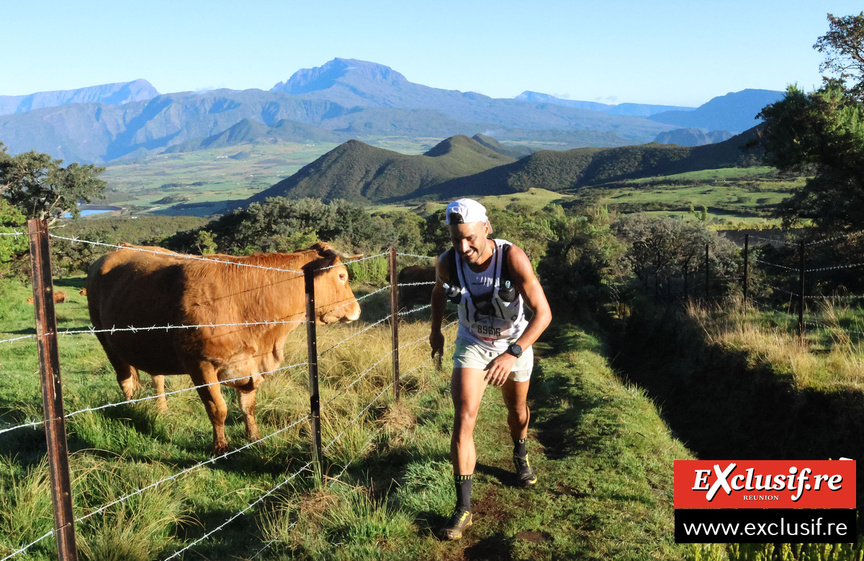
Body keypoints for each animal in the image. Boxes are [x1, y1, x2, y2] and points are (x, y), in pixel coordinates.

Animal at [86, 242, 361, 454]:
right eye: (342, 276)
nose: (357, 310)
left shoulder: (251, 365)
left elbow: (248, 406)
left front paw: (255, 438)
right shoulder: (201, 366)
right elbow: (218, 409)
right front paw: (221, 447)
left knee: (157, 378)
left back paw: (162, 410)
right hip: (106, 341)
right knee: (125, 380)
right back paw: (131, 409)